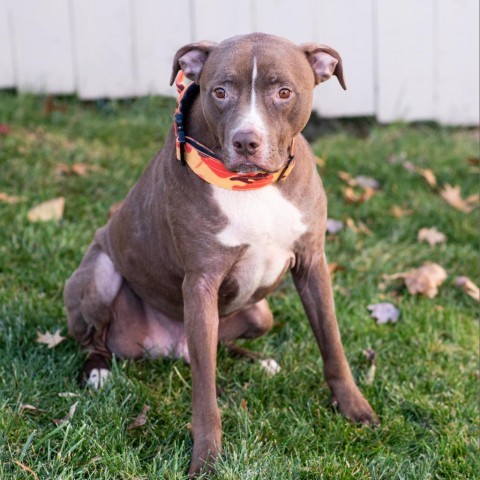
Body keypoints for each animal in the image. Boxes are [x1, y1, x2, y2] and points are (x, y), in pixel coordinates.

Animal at [64, 31, 378, 474]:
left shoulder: (313, 263)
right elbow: (205, 396)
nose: (246, 141)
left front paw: (353, 407)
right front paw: (206, 460)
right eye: (220, 92)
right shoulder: (201, 283)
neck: (253, 185)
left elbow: (332, 342)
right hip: (99, 275)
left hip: (260, 314)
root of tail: (169, 346)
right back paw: (97, 373)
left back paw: (257, 360)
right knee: (98, 339)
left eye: (284, 92)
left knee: (220, 344)